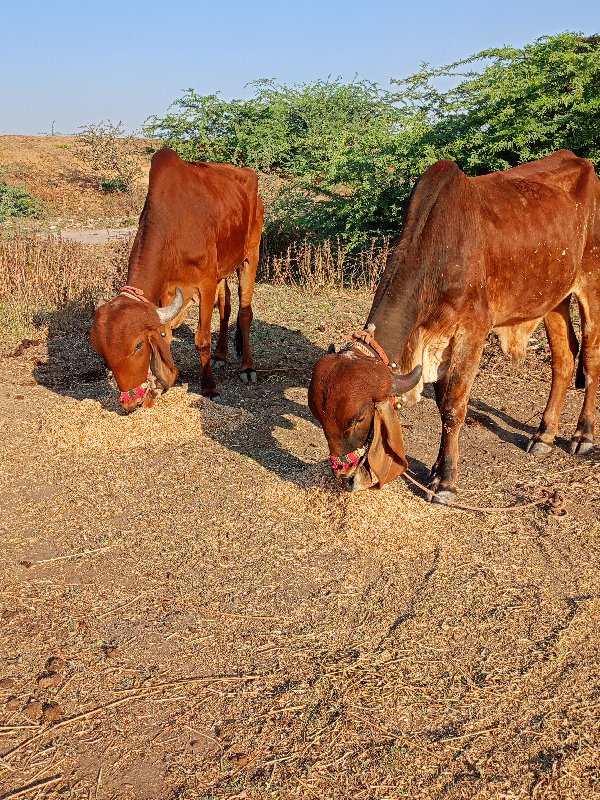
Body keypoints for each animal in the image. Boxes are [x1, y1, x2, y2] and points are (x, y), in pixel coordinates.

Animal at [89, 147, 262, 410]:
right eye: (103, 355)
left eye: (137, 346)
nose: (131, 403)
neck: (175, 225)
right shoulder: (166, 291)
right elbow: (166, 335)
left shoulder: (205, 283)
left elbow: (202, 339)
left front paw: (209, 388)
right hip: (223, 268)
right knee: (225, 305)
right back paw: (220, 355)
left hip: (250, 255)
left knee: (244, 312)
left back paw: (247, 367)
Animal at [310, 151, 600, 504]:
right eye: (319, 418)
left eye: (359, 418)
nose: (346, 477)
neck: (440, 251)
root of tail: (581, 162)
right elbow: (440, 402)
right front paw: (435, 470)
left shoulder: (471, 332)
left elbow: (452, 407)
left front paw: (445, 482)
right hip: (554, 298)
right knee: (564, 358)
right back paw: (544, 435)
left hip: (591, 283)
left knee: (591, 356)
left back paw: (582, 435)